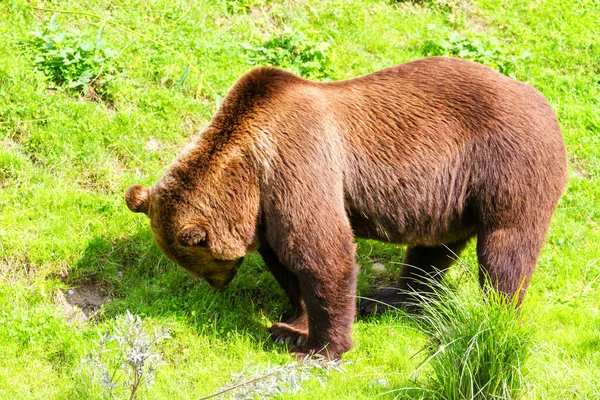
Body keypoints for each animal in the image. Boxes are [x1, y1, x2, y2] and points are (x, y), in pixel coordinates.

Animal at [125, 56, 568, 360]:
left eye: (200, 263)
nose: (218, 285)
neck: (248, 174)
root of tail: (547, 104)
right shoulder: (270, 205)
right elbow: (288, 265)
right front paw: (290, 326)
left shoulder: (299, 164)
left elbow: (323, 253)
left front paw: (319, 350)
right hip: (451, 198)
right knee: (430, 251)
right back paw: (388, 297)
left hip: (508, 167)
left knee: (504, 252)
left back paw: (495, 318)